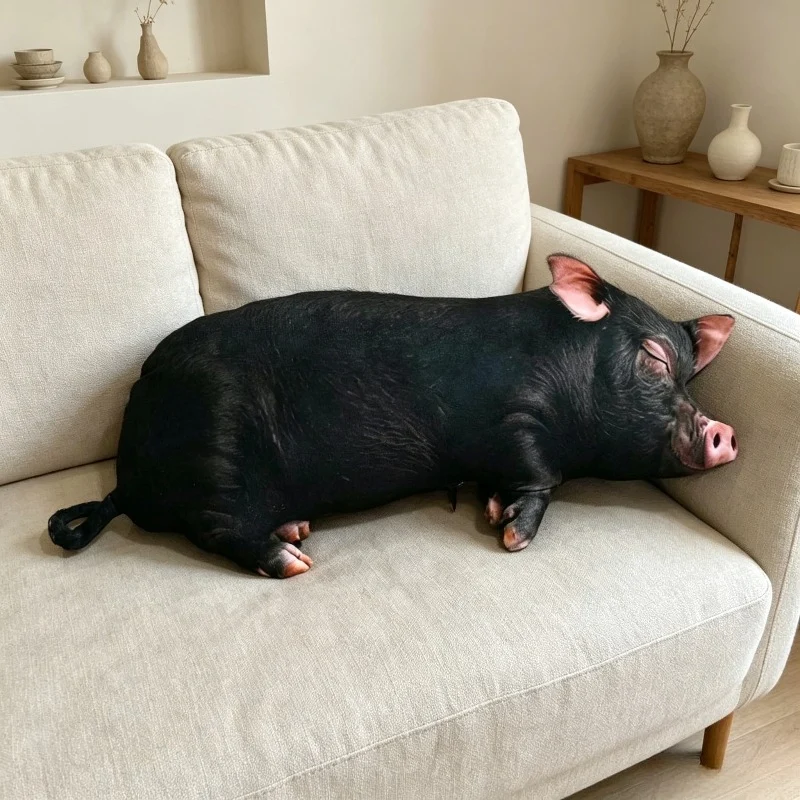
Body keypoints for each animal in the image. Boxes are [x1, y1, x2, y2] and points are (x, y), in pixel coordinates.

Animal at [48, 255, 737, 578]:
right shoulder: (510, 419)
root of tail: (125, 480)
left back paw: (297, 529)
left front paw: (494, 510)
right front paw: (512, 535)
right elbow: (543, 473)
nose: (725, 431)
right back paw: (294, 559)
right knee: (214, 527)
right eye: (653, 359)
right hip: (214, 450)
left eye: (689, 374)